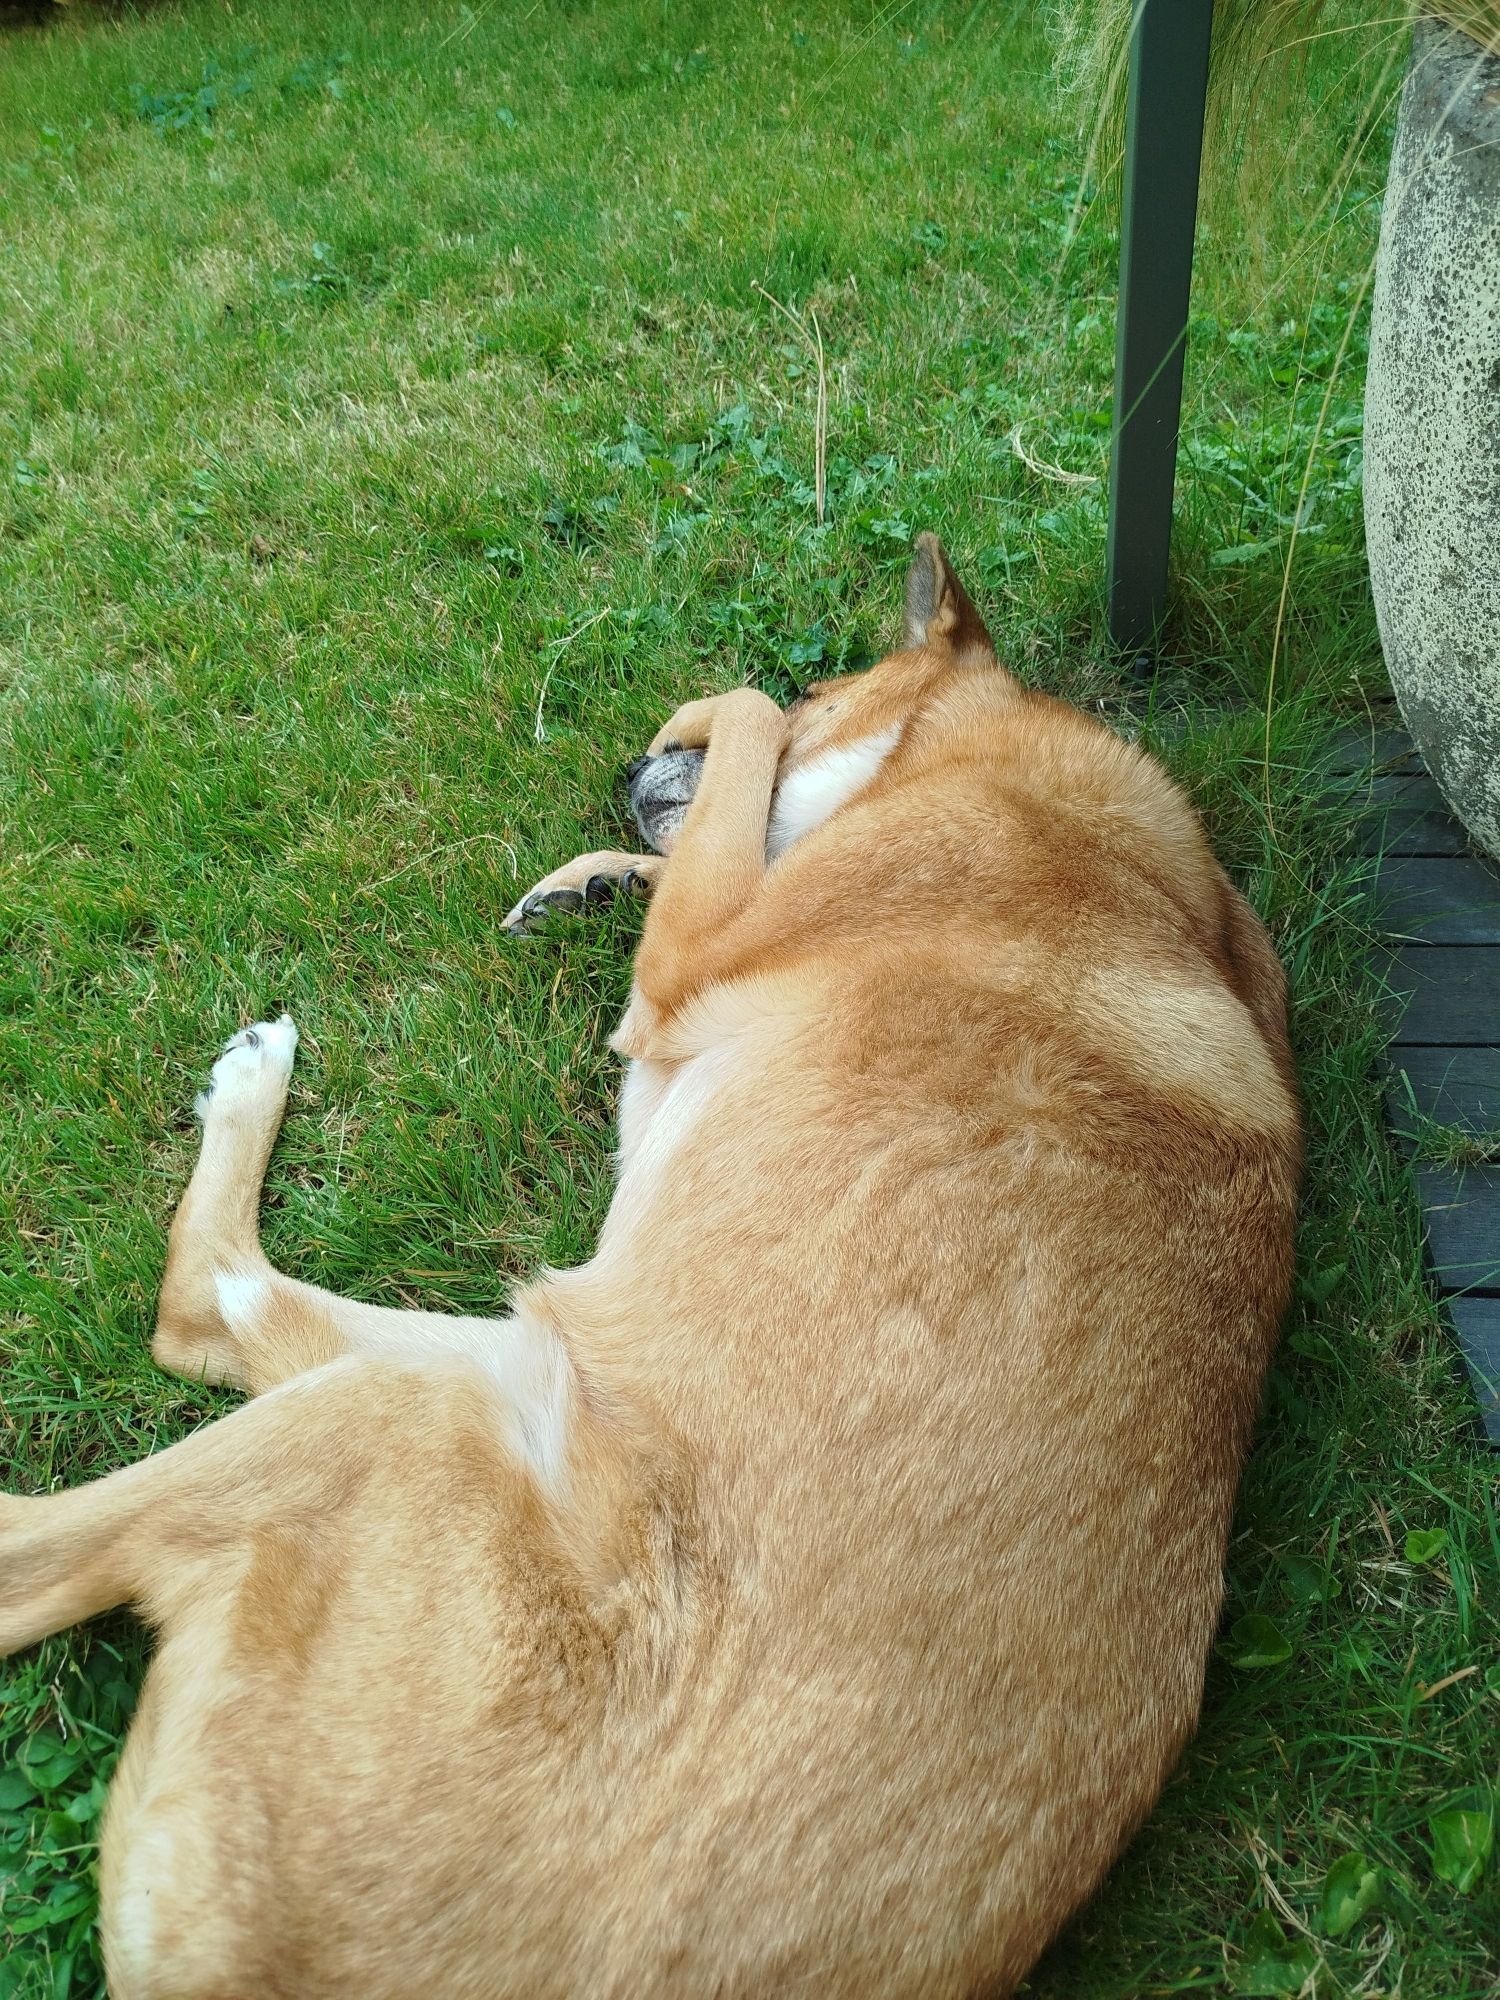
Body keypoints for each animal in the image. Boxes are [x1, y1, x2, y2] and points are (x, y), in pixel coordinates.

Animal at [0, 536, 1296, 2000]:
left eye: (826, 683)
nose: (626, 764)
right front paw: (600, 869)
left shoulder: (695, 956)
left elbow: (745, 718)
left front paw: (707, 738)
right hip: (530, 1362)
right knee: (229, 1316)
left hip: (412, 1415)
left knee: (120, 1420)